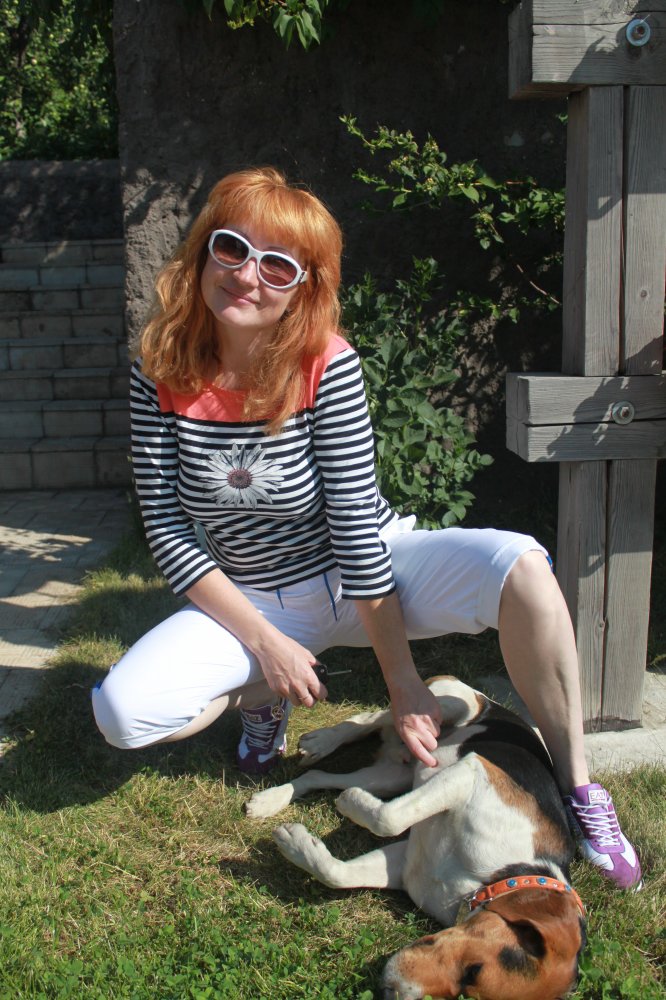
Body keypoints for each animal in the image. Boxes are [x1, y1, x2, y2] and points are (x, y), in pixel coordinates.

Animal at [246, 675, 586, 1000]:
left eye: (468, 992)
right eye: (474, 971)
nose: (391, 992)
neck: (496, 878)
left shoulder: (407, 863)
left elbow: (337, 873)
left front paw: (296, 843)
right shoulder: (472, 772)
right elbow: (388, 819)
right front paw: (351, 802)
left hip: (390, 776)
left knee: (318, 776)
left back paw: (270, 799)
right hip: (448, 702)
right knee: (378, 716)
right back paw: (324, 740)